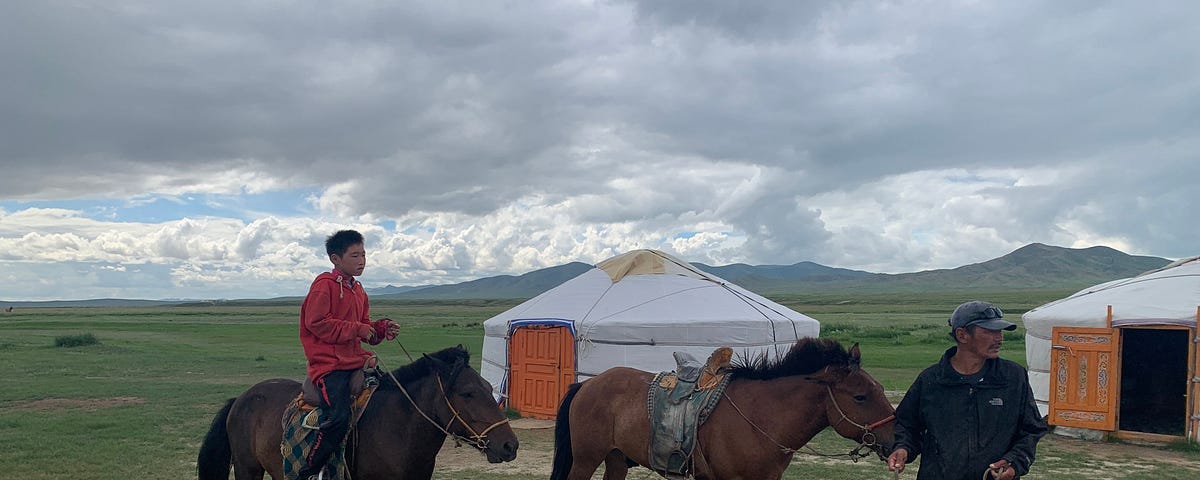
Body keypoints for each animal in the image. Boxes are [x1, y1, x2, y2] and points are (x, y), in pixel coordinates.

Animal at [198, 345, 516, 480]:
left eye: (489, 386)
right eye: (468, 393)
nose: (510, 445)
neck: (399, 431)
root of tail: (241, 398)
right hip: (247, 468)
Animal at [549, 338, 897, 480]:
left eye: (881, 389)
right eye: (861, 397)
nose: (897, 441)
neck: (762, 417)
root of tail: (588, 385)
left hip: (617, 457)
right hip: (586, 458)